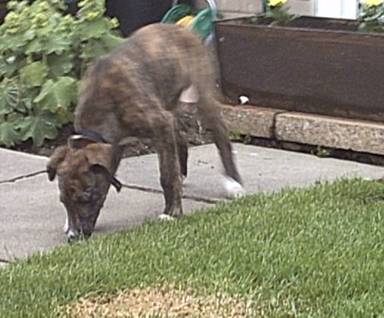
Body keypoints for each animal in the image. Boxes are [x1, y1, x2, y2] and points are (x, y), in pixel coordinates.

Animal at [47, 23, 243, 241]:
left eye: (86, 198)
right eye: (63, 201)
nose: (74, 237)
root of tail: (181, 28)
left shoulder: (159, 124)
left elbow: (166, 174)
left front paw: (171, 212)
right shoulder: (123, 141)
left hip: (202, 93)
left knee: (220, 134)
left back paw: (233, 181)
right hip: (168, 104)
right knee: (180, 137)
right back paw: (183, 175)